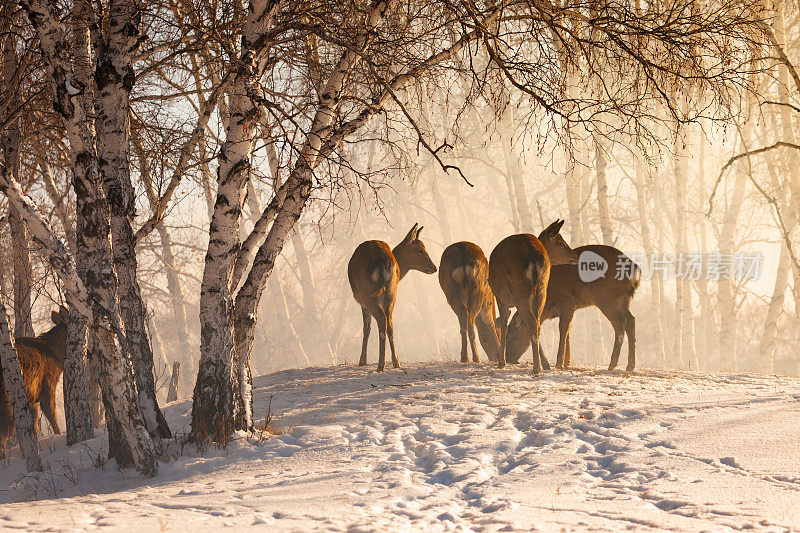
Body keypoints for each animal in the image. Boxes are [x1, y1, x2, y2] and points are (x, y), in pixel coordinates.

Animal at [0, 306, 68, 456]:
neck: (57, 354)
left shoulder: (32, 399)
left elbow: (35, 427)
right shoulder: (47, 384)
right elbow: (51, 413)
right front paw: (59, 436)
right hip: (6, 402)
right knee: (3, 435)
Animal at [348, 223, 438, 370]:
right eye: (420, 250)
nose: (435, 267)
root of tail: (382, 262)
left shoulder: (362, 302)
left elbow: (366, 328)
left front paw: (362, 361)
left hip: (368, 293)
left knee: (381, 319)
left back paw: (381, 365)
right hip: (391, 292)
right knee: (389, 321)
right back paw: (396, 362)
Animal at [484, 218, 580, 372]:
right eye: (561, 243)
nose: (576, 256)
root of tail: (536, 256)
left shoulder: (500, 297)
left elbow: (503, 325)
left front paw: (501, 362)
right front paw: (546, 364)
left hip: (520, 292)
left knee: (532, 322)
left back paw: (536, 368)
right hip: (541, 290)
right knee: (537, 323)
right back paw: (542, 365)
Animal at [506, 244, 644, 370]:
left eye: (511, 337)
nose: (508, 359)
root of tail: (635, 269)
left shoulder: (567, 303)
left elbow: (563, 329)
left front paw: (559, 362)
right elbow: (568, 330)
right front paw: (567, 362)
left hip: (607, 300)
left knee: (620, 324)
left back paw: (612, 364)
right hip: (623, 300)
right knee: (631, 320)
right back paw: (630, 365)